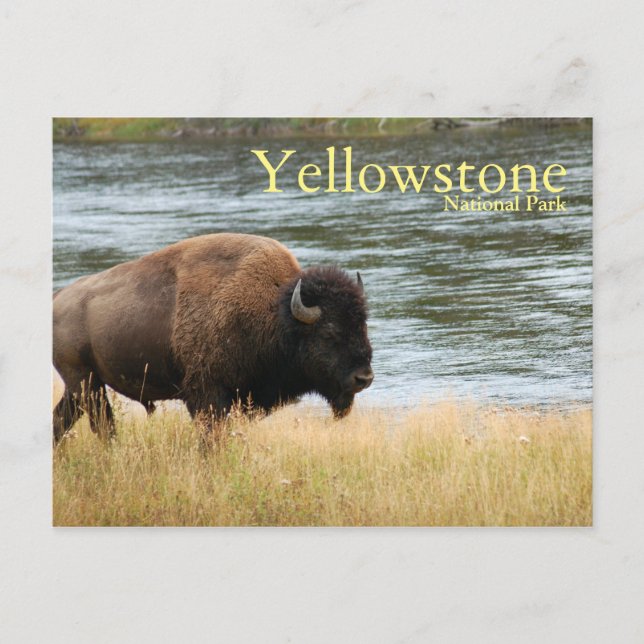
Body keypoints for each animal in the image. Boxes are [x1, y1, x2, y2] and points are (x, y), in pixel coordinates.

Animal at [53, 233, 373, 442]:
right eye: (330, 332)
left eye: (363, 325)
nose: (364, 378)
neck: (275, 312)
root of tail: (58, 298)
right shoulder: (207, 394)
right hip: (85, 382)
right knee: (101, 425)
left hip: (82, 386)